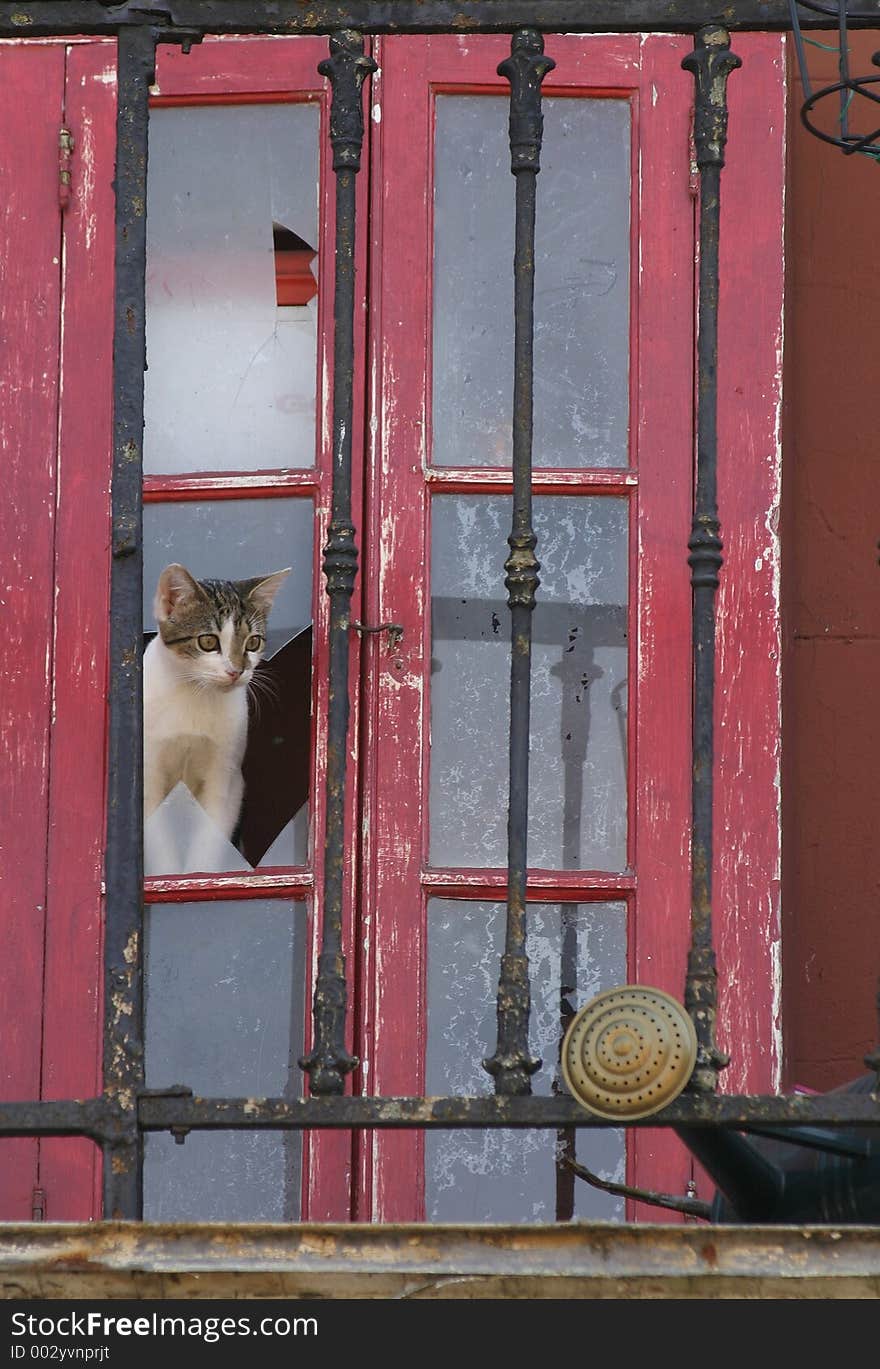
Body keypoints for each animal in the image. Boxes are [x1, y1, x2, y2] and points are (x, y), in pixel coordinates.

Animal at [143, 561, 291, 870]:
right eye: (208, 641)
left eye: (253, 642)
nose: (237, 670)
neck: (195, 694)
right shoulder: (149, 773)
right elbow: (159, 840)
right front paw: (171, 874)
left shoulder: (225, 776)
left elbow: (211, 837)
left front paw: (198, 873)